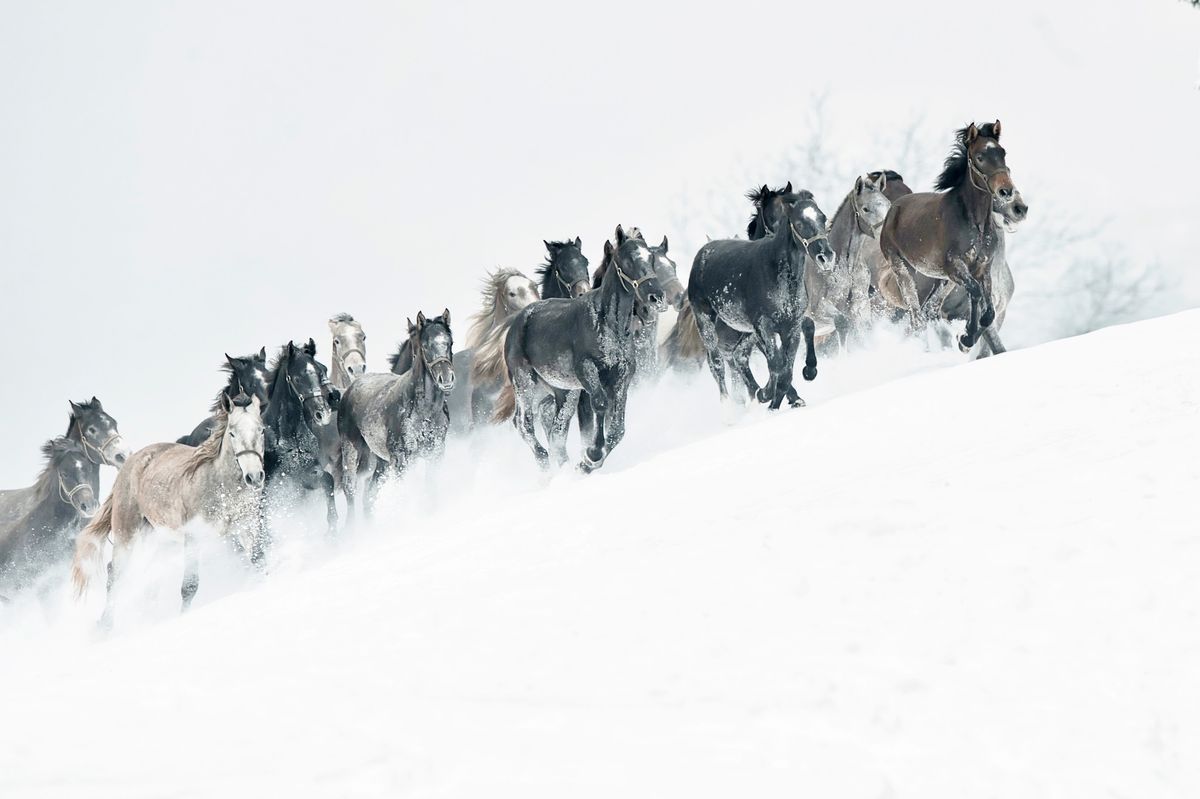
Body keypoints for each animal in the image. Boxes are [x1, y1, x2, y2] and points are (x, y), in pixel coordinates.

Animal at [260, 338, 338, 532]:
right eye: (296, 378)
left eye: (320, 371)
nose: (322, 413)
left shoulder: (307, 476)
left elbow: (328, 480)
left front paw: (332, 528)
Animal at [340, 307, 456, 520]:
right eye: (424, 346)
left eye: (449, 342)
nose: (446, 379)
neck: (425, 412)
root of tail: (351, 388)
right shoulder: (402, 459)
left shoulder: (435, 452)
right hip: (351, 450)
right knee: (350, 488)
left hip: (382, 462)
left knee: (370, 493)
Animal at [494, 224, 667, 470]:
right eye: (627, 260)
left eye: (651, 258)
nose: (656, 297)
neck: (608, 325)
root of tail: (518, 321)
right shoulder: (586, 371)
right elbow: (600, 405)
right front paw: (592, 454)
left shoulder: (623, 376)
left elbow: (618, 428)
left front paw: (588, 463)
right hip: (525, 383)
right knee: (523, 423)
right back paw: (545, 461)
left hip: (560, 391)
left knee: (554, 431)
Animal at [686, 189, 835, 407]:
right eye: (799, 223)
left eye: (822, 218)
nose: (826, 257)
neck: (780, 277)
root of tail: (702, 254)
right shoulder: (764, 327)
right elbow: (776, 364)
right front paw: (767, 395)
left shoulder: (791, 327)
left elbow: (786, 370)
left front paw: (787, 392)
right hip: (706, 323)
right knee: (717, 363)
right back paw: (728, 407)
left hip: (745, 332)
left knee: (739, 357)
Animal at [878, 120, 1027, 347]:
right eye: (980, 157)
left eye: (1003, 153)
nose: (1007, 192)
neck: (975, 225)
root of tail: (893, 209)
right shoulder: (955, 266)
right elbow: (975, 293)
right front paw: (966, 337)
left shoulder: (982, 268)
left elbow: (988, 311)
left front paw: (966, 337)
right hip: (902, 268)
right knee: (915, 314)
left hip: (942, 280)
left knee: (928, 310)